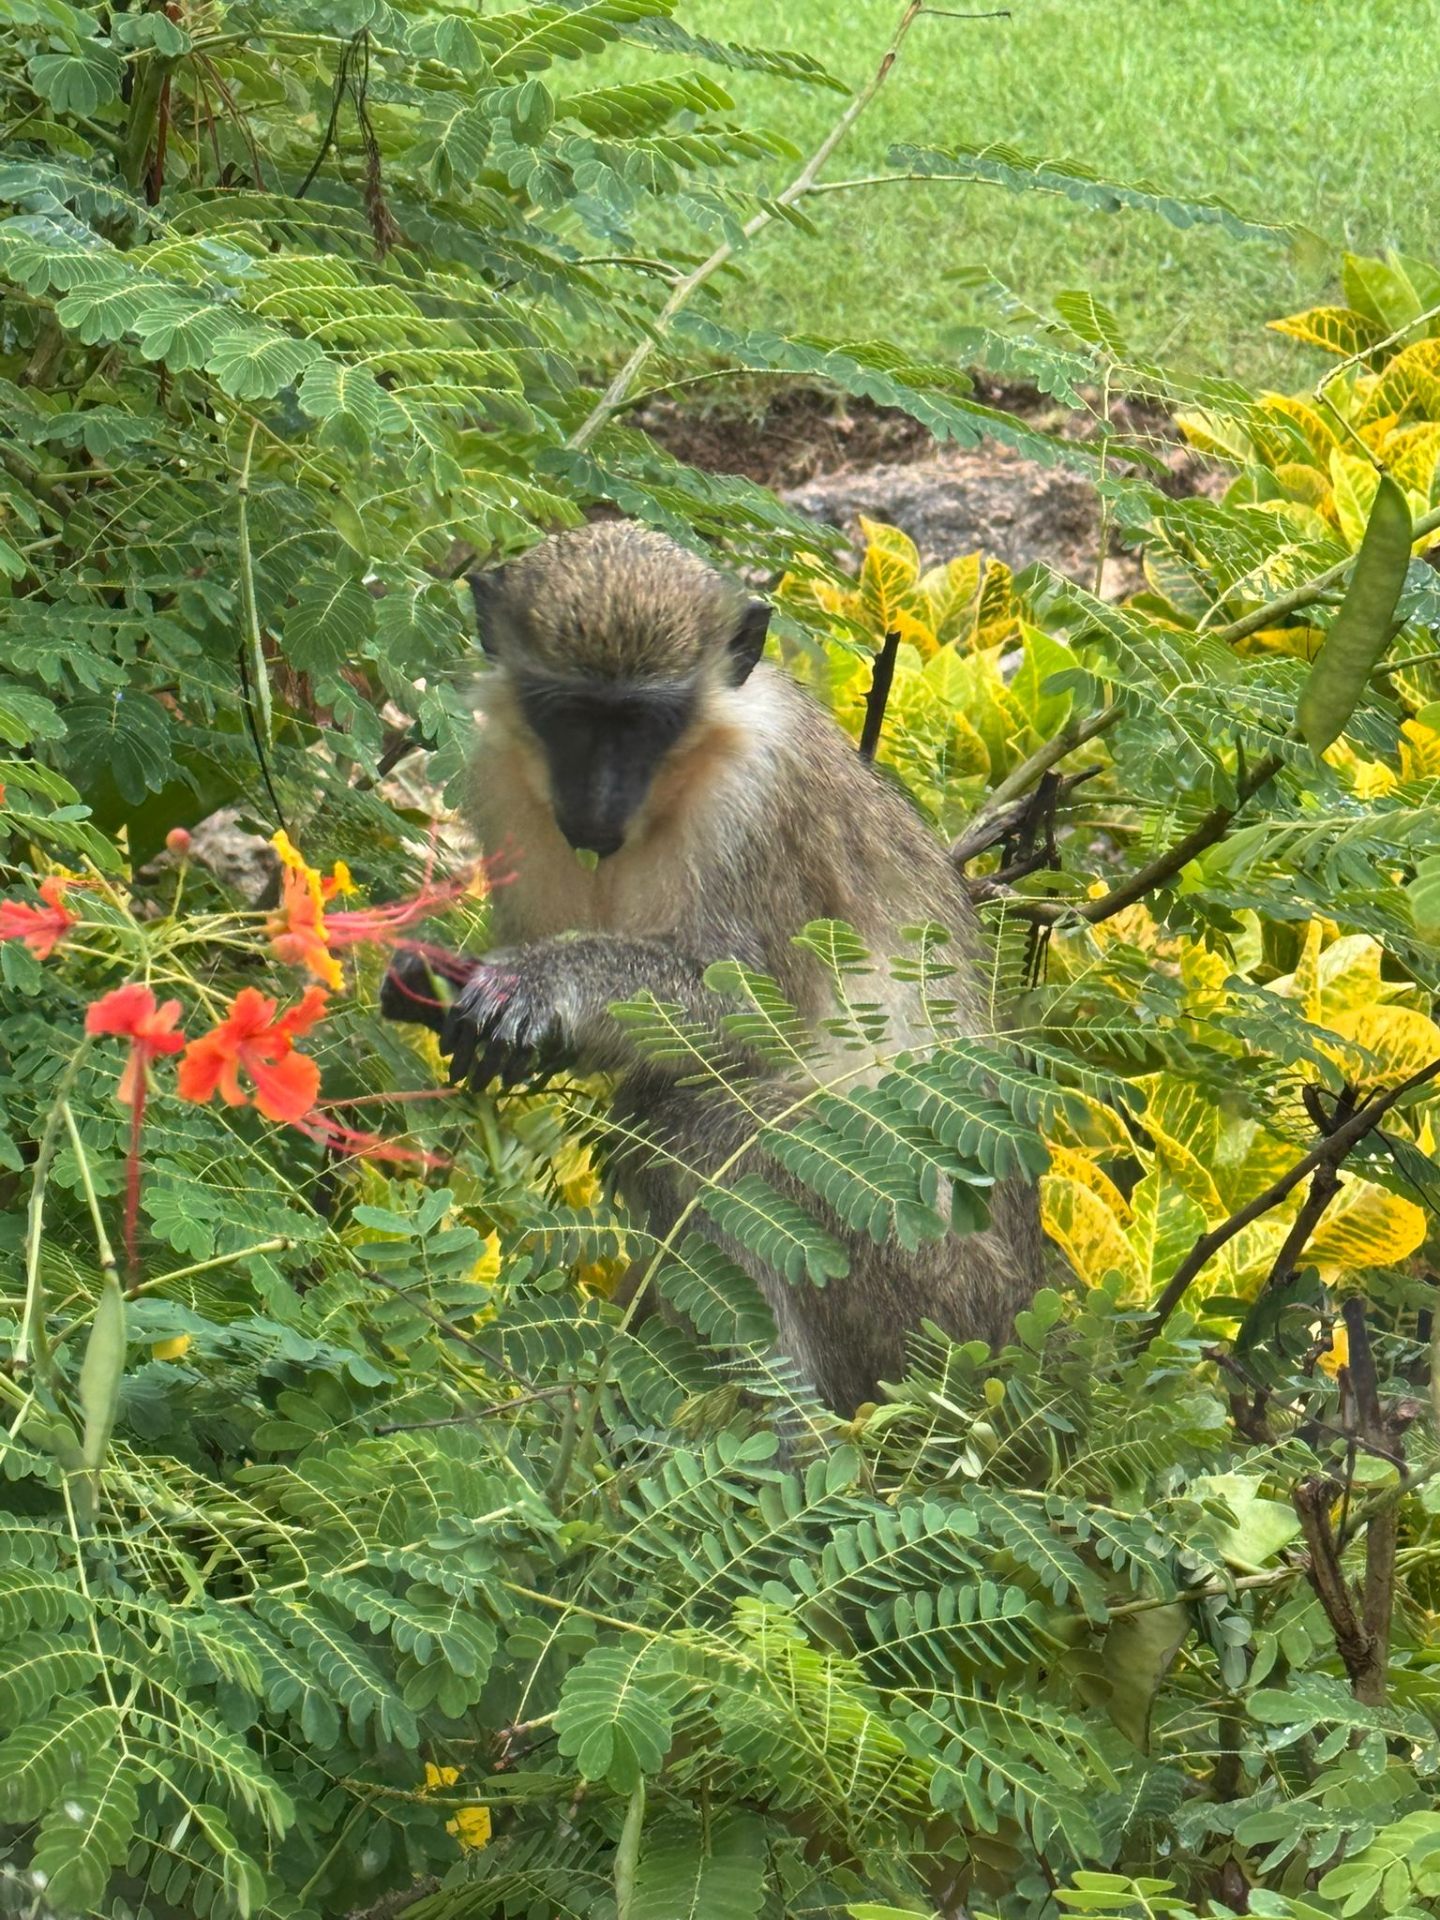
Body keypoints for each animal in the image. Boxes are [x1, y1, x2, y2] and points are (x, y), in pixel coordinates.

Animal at [382, 520, 1044, 1415]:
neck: (681, 778)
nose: (595, 808)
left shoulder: (755, 803)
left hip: (920, 1275)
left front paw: (542, 985)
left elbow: (752, 1014)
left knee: (693, 1125)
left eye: (641, 722)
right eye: (572, 716)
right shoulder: (497, 771)